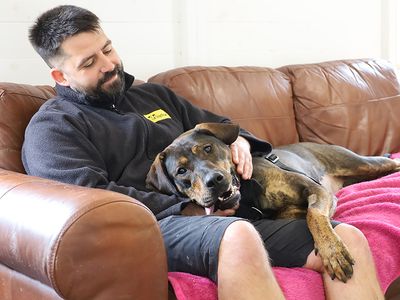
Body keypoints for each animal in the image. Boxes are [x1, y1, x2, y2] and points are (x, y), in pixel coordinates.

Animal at [146, 121, 400, 282]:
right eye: (181, 171)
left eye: (208, 148)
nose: (214, 181)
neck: (248, 194)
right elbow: (306, 214)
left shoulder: (316, 190)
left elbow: (314, 216)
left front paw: (333, 251)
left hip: (362, 163)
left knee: (392, 163)